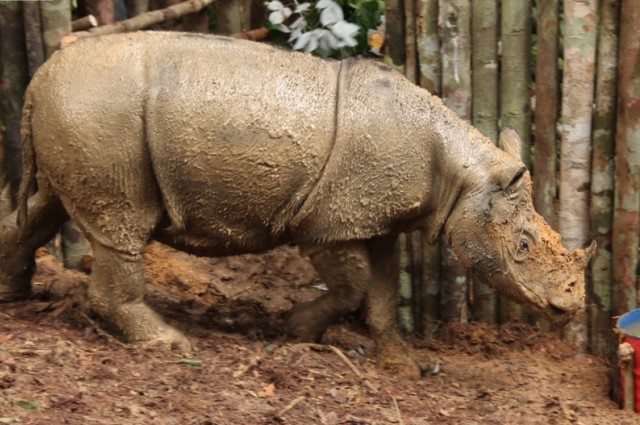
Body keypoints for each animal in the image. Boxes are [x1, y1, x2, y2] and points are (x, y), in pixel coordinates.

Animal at [0, 32, 595, 378]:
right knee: (118, 227)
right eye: (522, 245)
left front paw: (399, 364)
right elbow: (355, 284)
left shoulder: (377, 219)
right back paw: (167, 342)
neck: (465, 174)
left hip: (82, 112)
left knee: (44, 208)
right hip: (103, 112)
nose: (572, 306)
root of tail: (39, 78)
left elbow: (382, 289)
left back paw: (13, 299)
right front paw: (298, 330)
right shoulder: (326, 223)